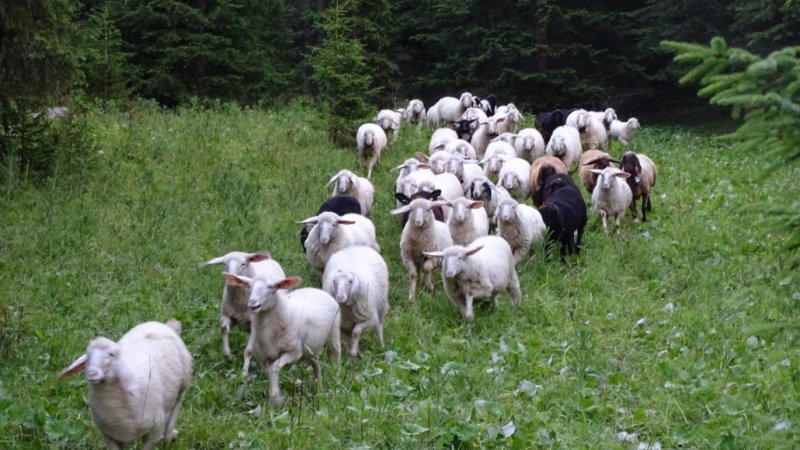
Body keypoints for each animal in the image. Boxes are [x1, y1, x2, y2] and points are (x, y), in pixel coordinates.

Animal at [58, 320, 193, 450]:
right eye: (88, 357)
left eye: (111, 355)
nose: (92, 373)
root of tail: (161, 325)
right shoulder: (109, 436)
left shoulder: (155, 430)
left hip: (183, 380)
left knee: (178, 401)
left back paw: (169, 435)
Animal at [222, 272, 340, 406]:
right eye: (249, 286)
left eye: (271, 287)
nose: (252, 302)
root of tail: (319, 290)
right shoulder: (264, 358)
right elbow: (270, 372)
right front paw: (276, 394)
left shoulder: (294, 353)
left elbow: (274, 367)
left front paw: (275, 396)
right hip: (309, 348)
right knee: (315, 362)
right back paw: (319, 388)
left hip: (333, 335)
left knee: (335, 358)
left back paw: (335, 380)